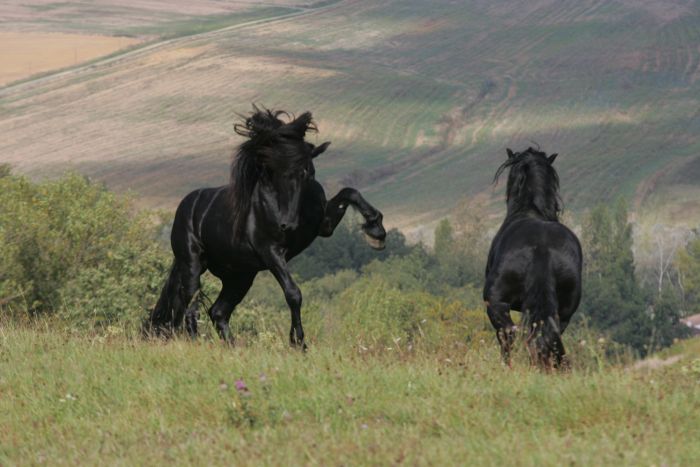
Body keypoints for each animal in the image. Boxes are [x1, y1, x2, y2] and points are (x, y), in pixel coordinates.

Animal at [148, 107, 388, 348]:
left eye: (306, 172)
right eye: (274, 171)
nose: (287, 224)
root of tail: (186, 206)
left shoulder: (324, 227)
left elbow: (349, 192)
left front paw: (376, 232)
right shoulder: (270, 251)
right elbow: (293, 293)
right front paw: (298, 343)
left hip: (240, 276)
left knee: (217, 312)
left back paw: (234, 348)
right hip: (193, 265)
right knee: (187, 309)